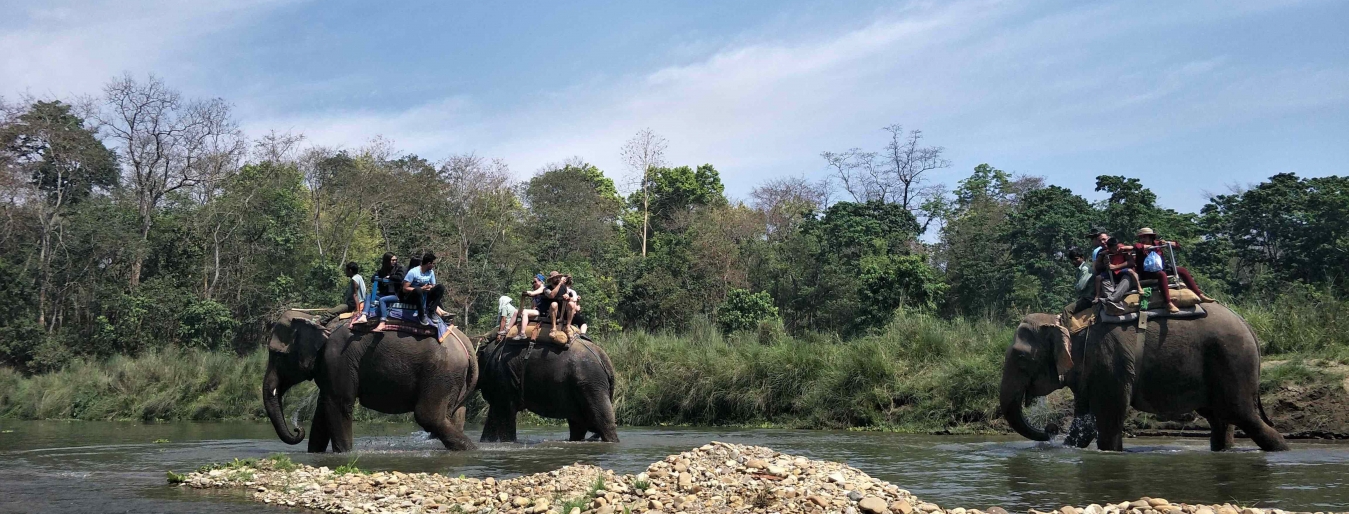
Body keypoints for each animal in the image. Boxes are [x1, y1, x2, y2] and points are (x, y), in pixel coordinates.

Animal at [263, 308, 480, 447]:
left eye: (278, 356)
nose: (298, 429)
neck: (316, 320)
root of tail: (466, 343)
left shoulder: (337, 358)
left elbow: (339, 405)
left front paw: (345, 453)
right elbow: (322, 412)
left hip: (441, 373)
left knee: (428, 416)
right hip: (455, 379)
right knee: (454, 416)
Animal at [477, 335, 617, 439]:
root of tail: (604, 358)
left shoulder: (503, 375)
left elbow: (505, 413)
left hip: (591, 383)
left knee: (602, 422)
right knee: (578, 425)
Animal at [1003, 302, 1284, 450]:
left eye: (1021, 357)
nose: (1050, 430)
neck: (1066, 321)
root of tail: (1248, 326)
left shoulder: (1110, 360)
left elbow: (1109, 416)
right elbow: (1085, 422)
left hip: (1234, 361)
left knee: (1242, 414)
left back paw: (1281, 448)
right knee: (1220, 420)